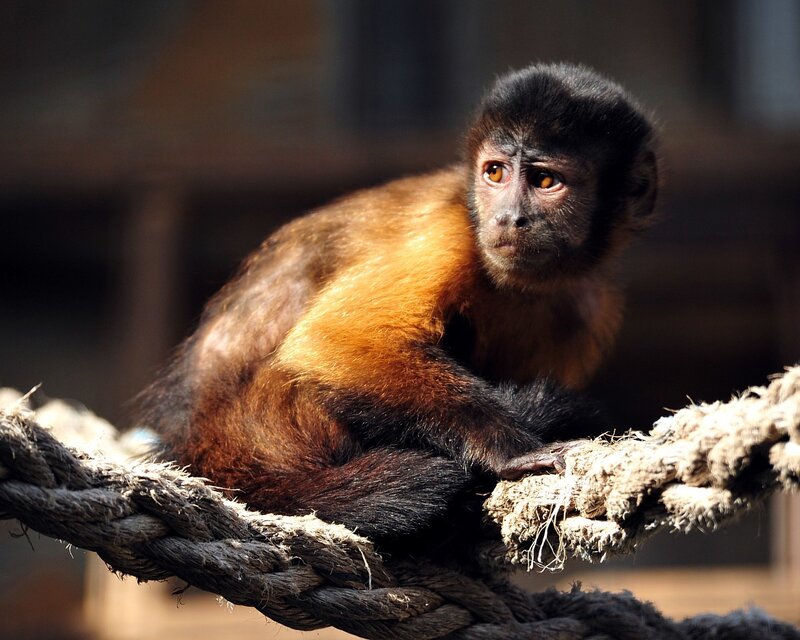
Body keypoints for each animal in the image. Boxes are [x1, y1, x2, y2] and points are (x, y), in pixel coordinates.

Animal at [138, 63, 659, 545]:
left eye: (545, 181)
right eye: (496, 173)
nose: (510, 217)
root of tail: (203, 442)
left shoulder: (588, 306)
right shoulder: (447, 233)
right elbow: (333, 342)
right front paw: (509, 448)